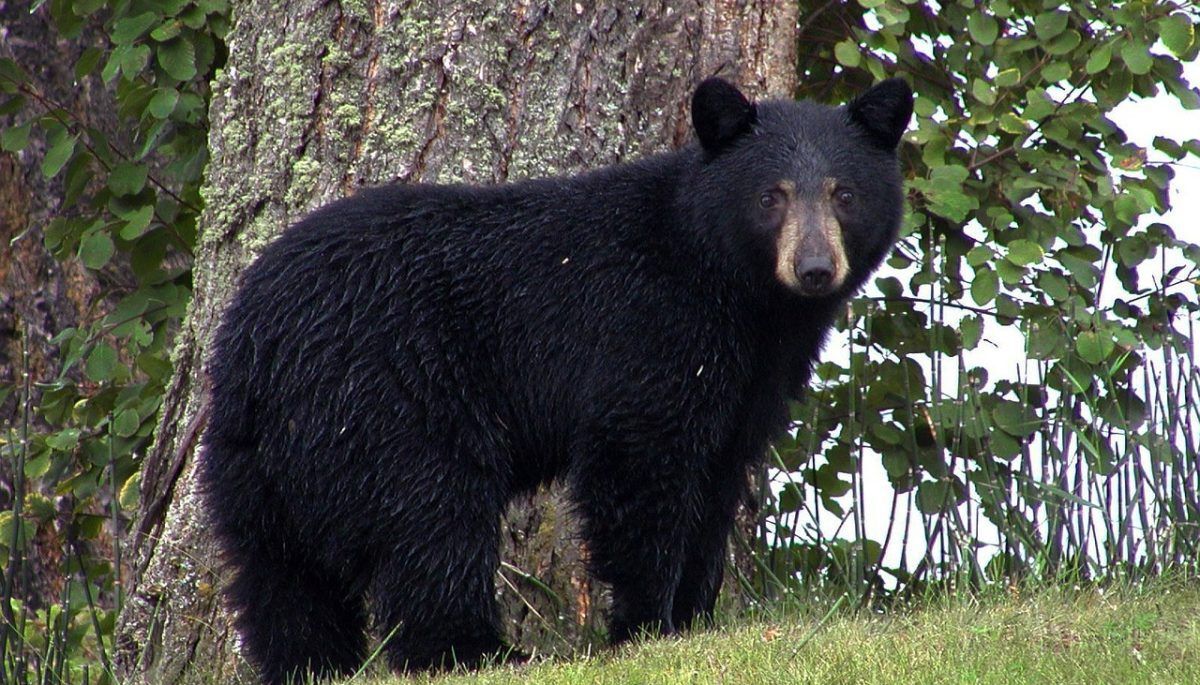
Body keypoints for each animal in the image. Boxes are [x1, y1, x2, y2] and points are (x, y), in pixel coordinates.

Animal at [199, 76, 913, 684]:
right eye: (772, 196)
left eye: (844, 194)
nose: (815, 268)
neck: (736, 292)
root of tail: (256, 341)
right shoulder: (648, 331)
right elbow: (639, 464)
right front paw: (645, 627)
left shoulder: (751, 379)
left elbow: (717, 479)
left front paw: (695, 619)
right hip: (389, 397)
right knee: (432, 519)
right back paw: (478, 651)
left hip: (256, 460)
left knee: (280, 574)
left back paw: (311, 664)